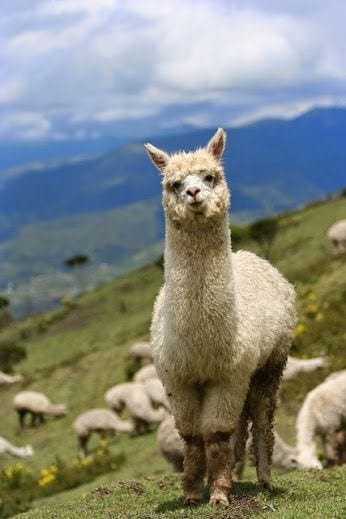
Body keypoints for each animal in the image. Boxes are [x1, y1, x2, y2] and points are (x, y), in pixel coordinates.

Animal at [145, 130, 296, 508]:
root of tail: (250, 257)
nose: (194, 194)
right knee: (241, 422)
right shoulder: (177, 379)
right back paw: (237, 471)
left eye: (210, 176)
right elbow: (191, 436)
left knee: (261, 416)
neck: (200, 342)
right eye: (174, 183)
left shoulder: (227, 376)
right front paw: (191, 490)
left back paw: (263, 479)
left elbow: (214, 434)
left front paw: (218, 494)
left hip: (270, 363)